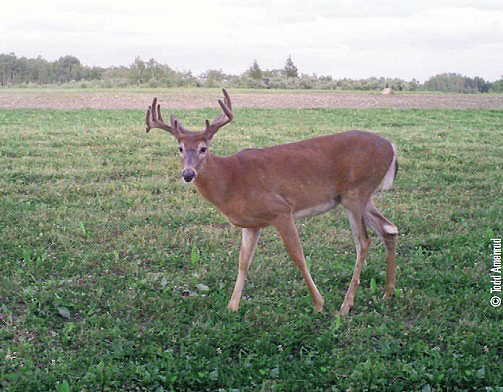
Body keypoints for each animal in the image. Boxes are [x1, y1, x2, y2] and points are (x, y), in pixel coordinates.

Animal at [144, 89, 400, 316]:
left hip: (356, 193)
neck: (231, 180)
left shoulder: (281, 210)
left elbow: (298, 256)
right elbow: (243, 262)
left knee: (363, 241)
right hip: (361, 196)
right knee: (389, 228)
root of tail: (391, 146)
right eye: (180, 148)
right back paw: (388, 292)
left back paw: (346, 306)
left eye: (203, 148)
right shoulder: (251, 224)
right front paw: (232, 307)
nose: (188, 174)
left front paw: (318, 304)